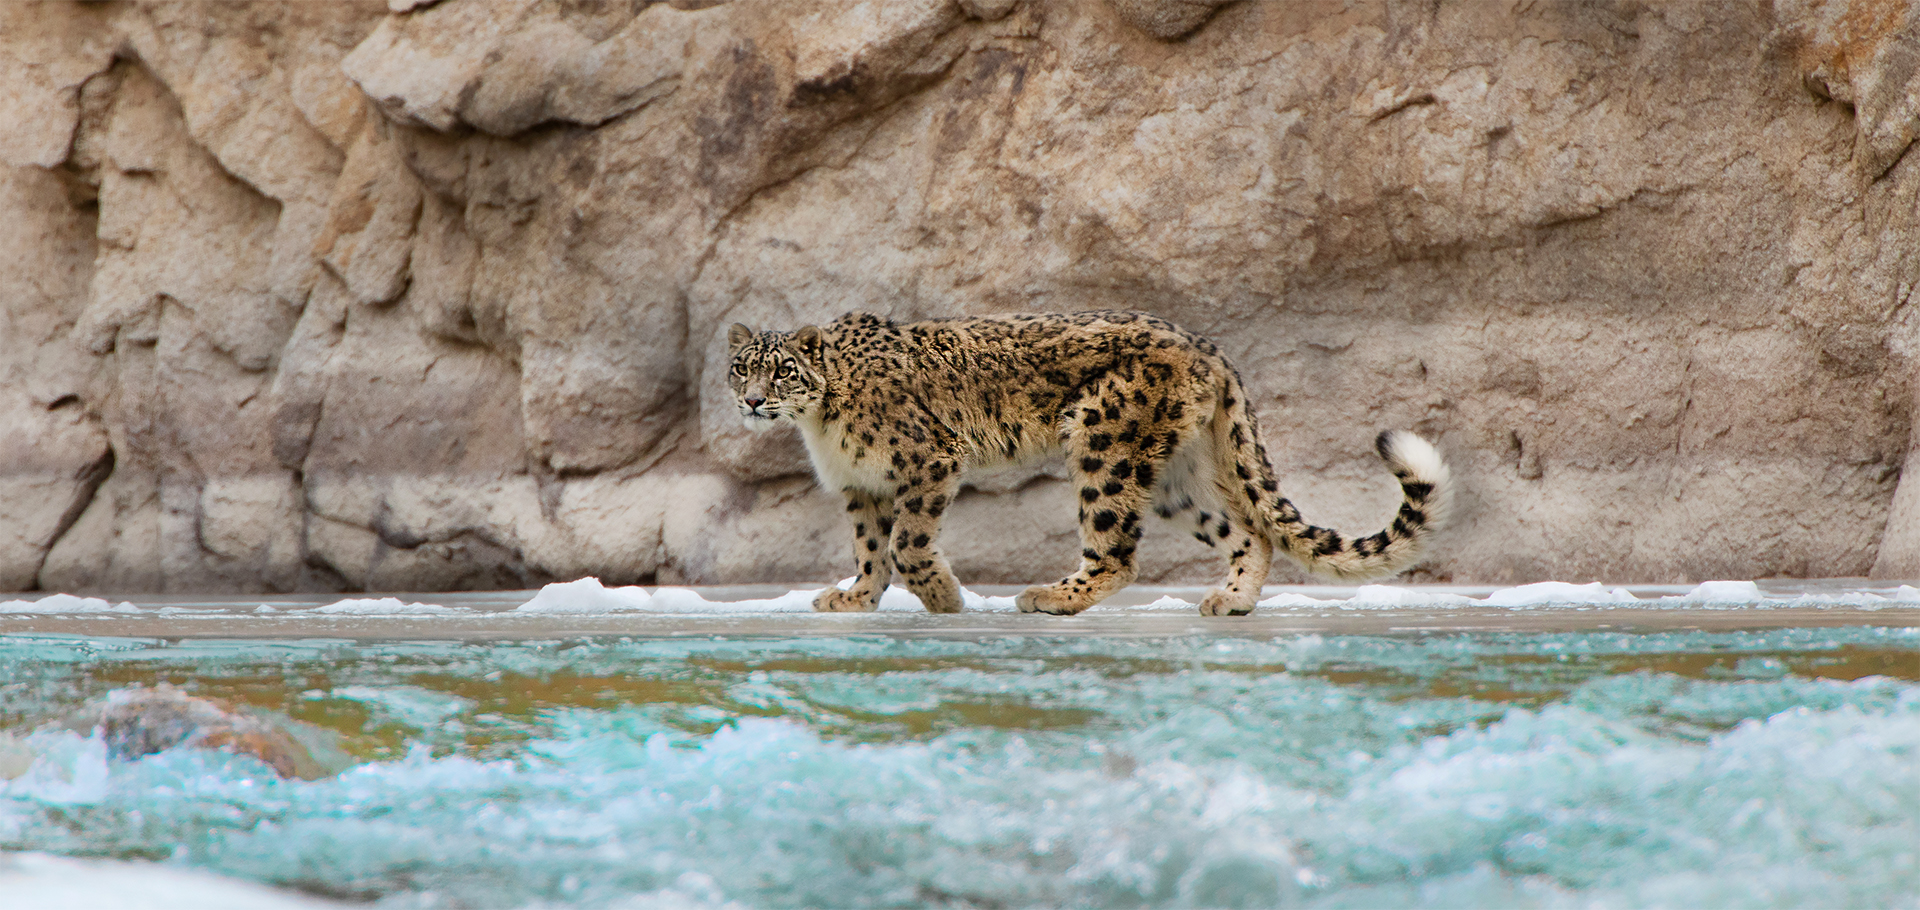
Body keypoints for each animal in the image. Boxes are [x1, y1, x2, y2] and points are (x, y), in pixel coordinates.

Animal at [724, 310, 1452, 616]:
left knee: (1116, 554)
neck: (820, 426)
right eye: (741, 367)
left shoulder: (929, 462)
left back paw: (1049, 597)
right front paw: (855, 597)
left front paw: (944, 598)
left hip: (1103, 443)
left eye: (783, 371)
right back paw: (1231, 600)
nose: (753, 401)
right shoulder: (862, 489)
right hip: (1174, 478)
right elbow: (872, 549)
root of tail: (1207, 346)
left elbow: (906, 543)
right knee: (1250, 532)